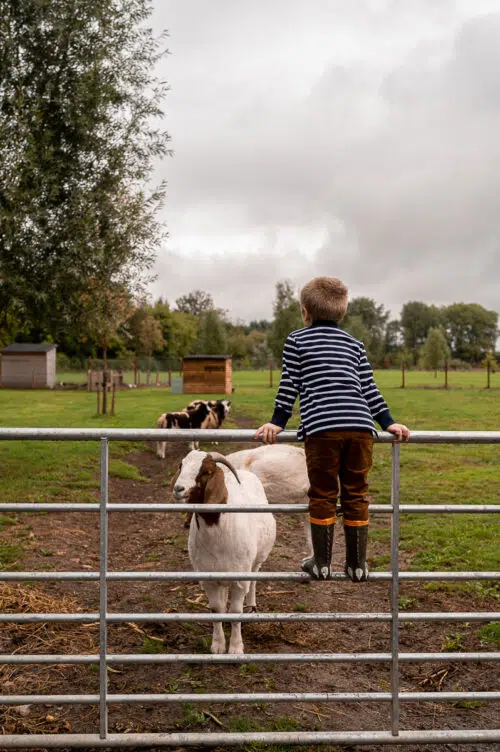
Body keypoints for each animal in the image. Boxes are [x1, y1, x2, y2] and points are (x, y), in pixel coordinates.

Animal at [173, 450, 276, 654]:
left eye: (206, 471)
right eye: (181, 466)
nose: (178, 489)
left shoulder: (239, 580)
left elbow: (236, 612)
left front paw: (236, 648)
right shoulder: (208, 579)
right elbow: (216, 609)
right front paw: (218, 646)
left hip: (256, 560)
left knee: (253, 579)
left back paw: (251, 605)